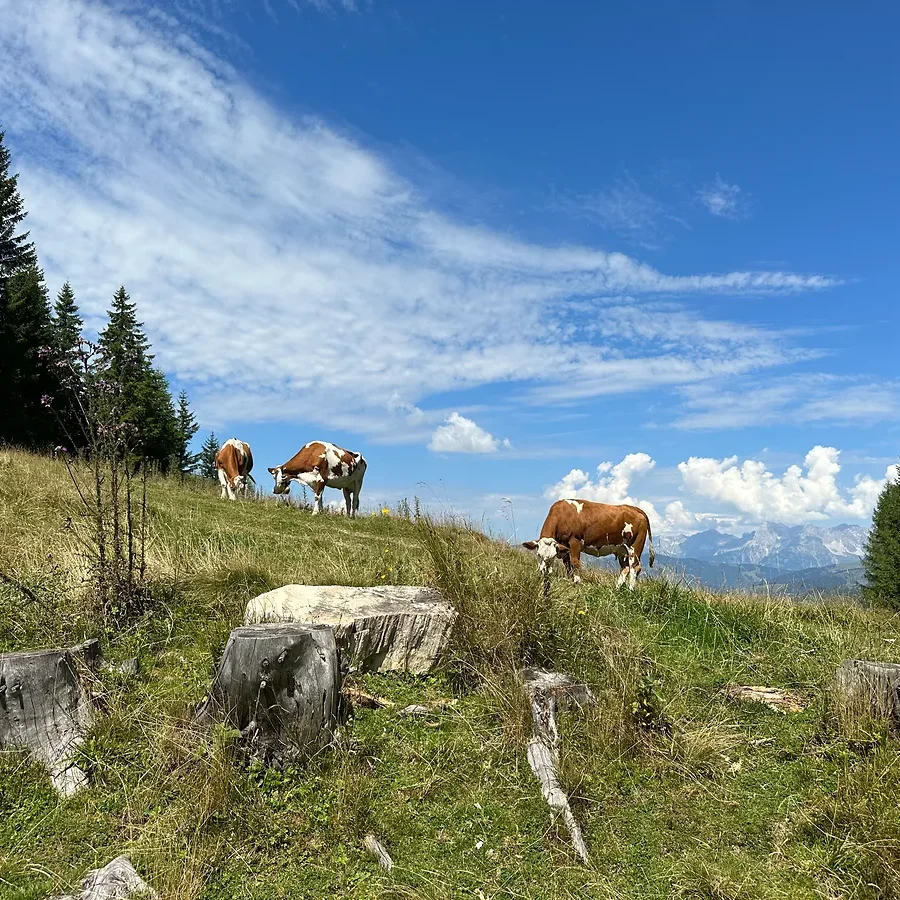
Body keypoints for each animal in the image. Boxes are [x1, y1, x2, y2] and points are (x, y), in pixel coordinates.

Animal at [523, 498, 655, 590]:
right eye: (538, 554)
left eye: (552, 556)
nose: (543, 571)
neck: (563, 515)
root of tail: (634, 508)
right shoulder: (564, 547)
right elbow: (567, 565)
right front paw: (569, 580)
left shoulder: (575, 541)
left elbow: (575, 563)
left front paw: (577, 582)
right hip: (621, 549)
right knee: (625, 568)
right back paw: (617, 589)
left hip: (635, 547)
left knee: (635, 568)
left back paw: (630, 590)